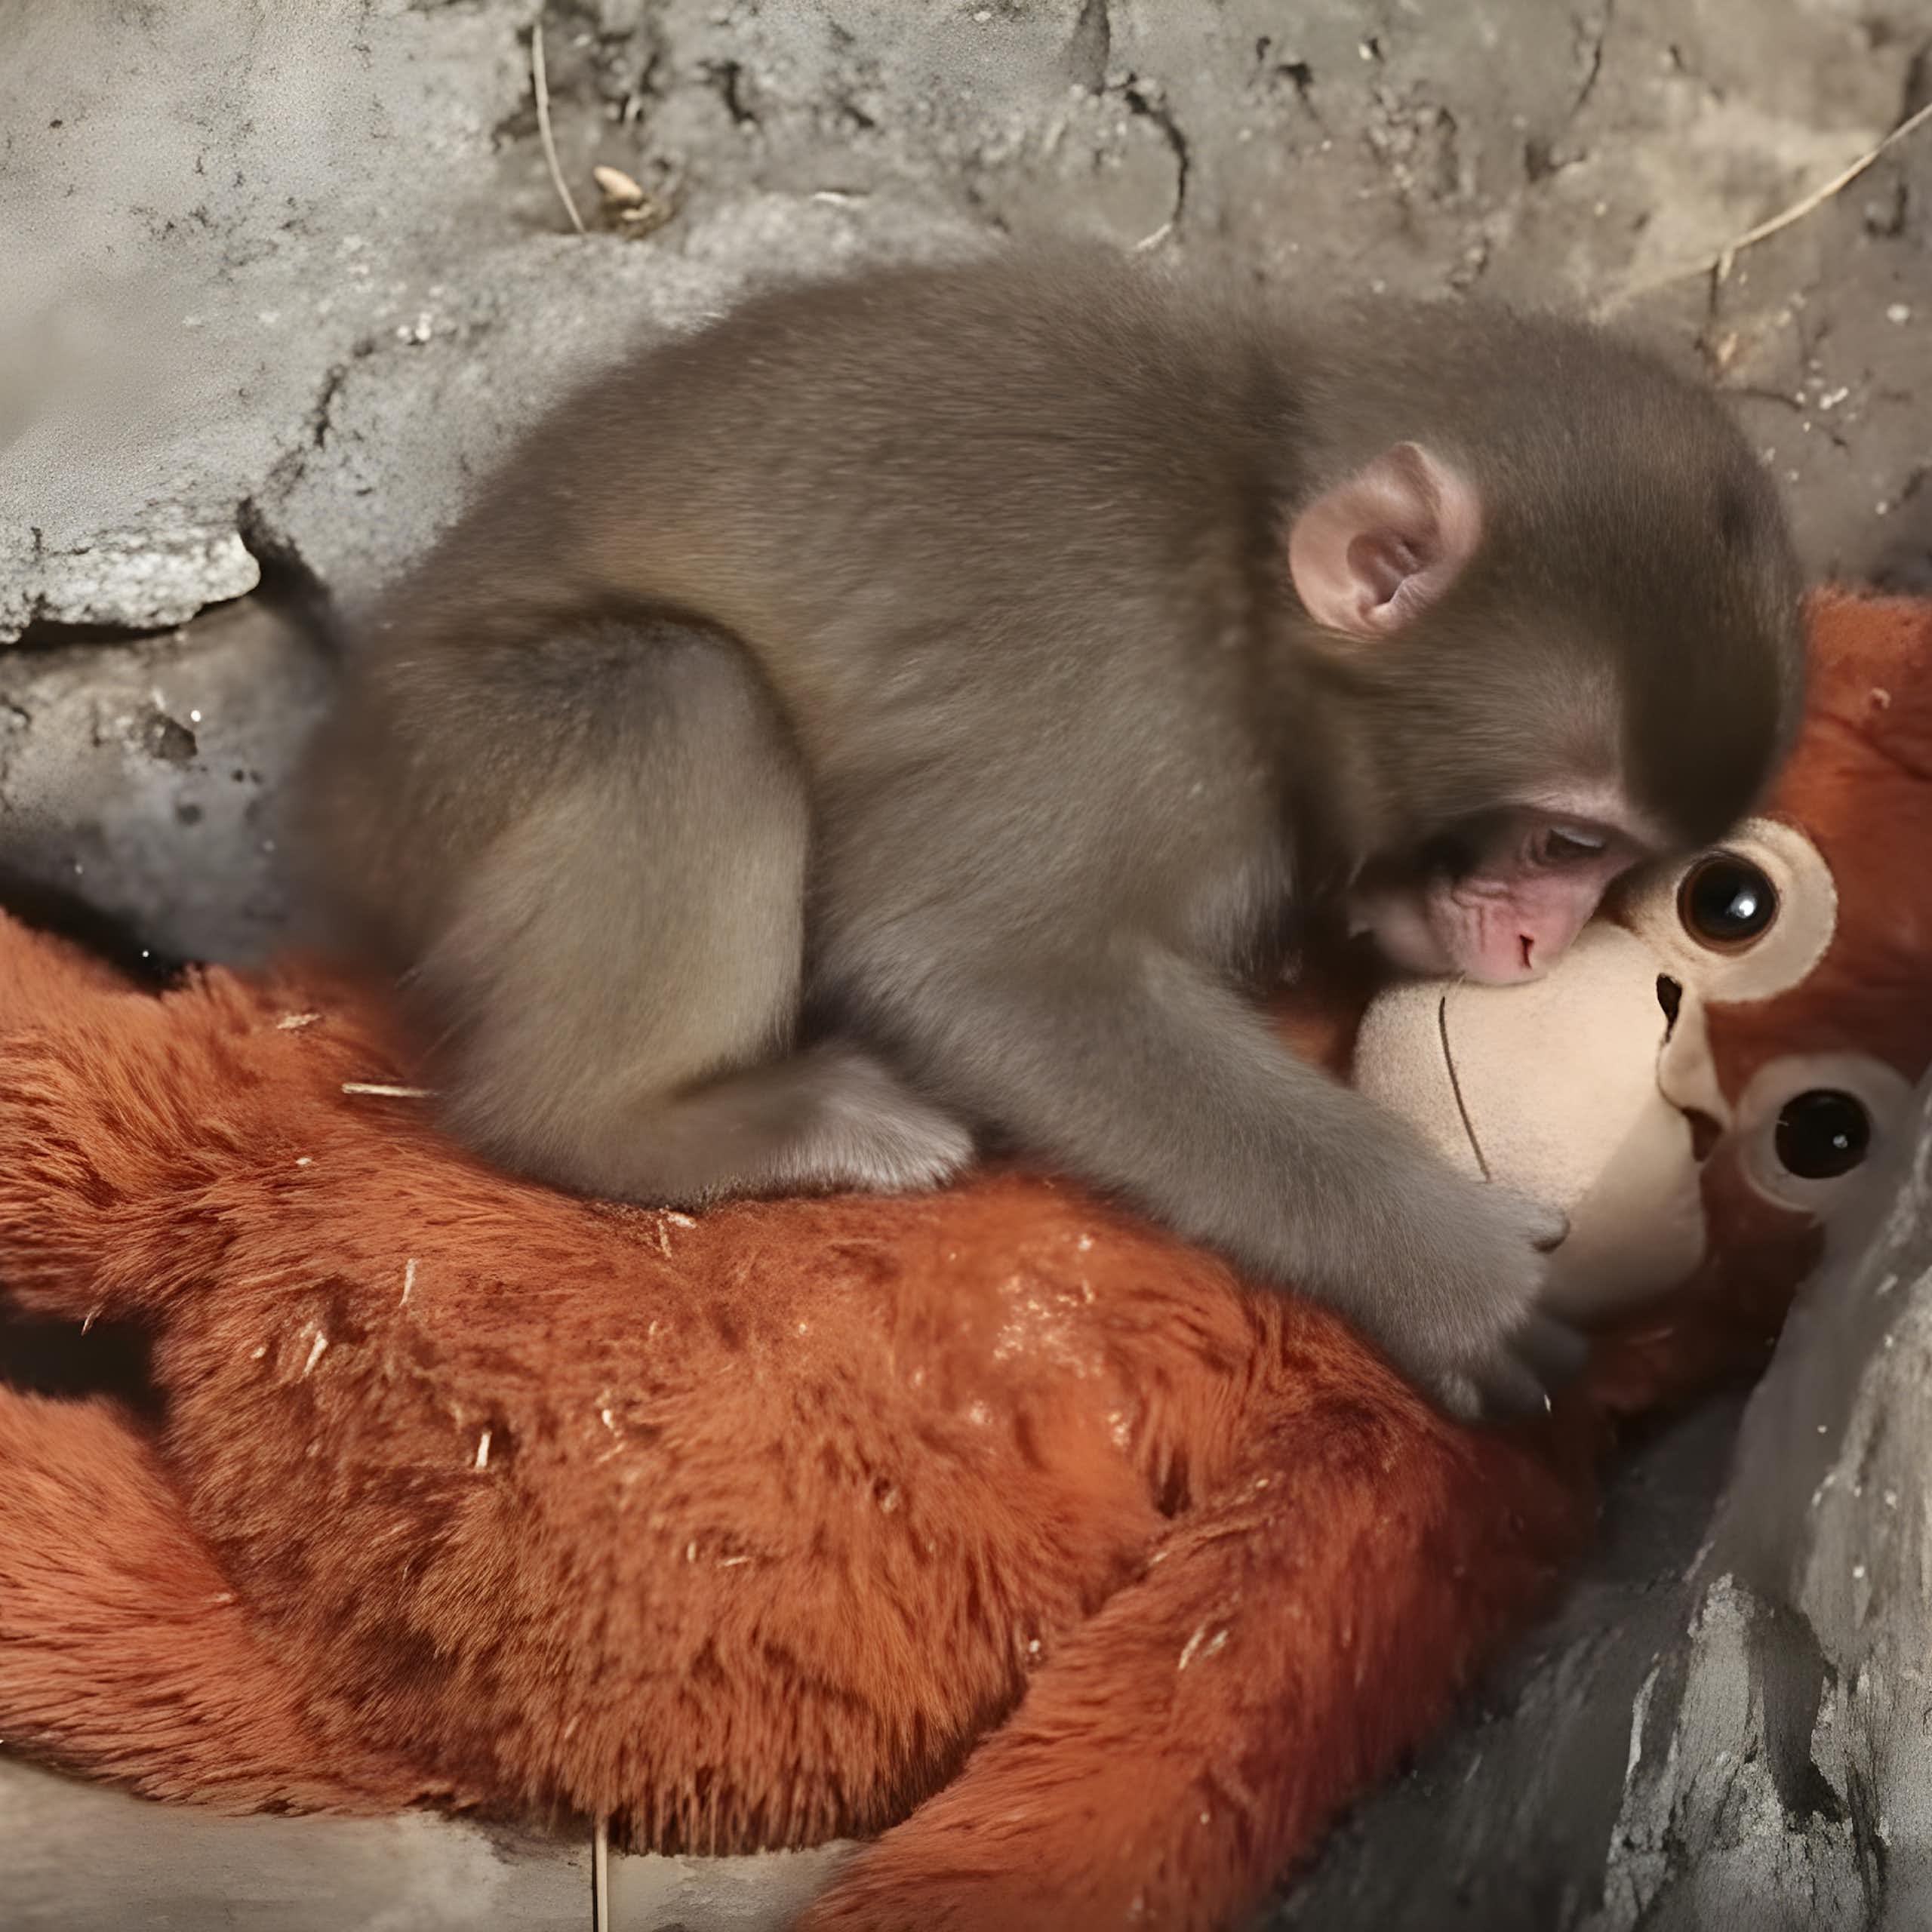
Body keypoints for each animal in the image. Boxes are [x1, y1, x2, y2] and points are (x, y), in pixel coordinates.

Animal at [296, 247, 1805, 1420]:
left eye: (1622, 865)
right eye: (1564, 843)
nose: (1544, 937)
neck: (1242, 569)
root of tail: (343, 778)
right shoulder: (1121, 702)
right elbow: (975, 965)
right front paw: (1448, 1271)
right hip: (452, 768)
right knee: (685, 703)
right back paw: (641, 1127)